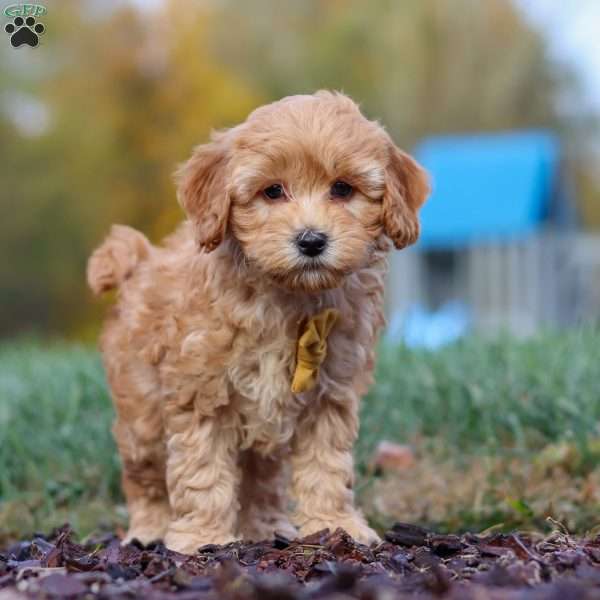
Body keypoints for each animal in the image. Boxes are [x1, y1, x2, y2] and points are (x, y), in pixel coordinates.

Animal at [88, 91, 426, 556]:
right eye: (273, 191)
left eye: (342, 188)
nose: (311, 240)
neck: (285, 295)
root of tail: (139, 262)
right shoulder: (199, 391)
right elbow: (202, 469)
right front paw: (203, 539)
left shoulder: (330, 392)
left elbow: (327, 463)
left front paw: (335, 525)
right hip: (141, 406)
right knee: (145, 473)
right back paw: (149, 529)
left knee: (260, 474)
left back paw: (264, 527)